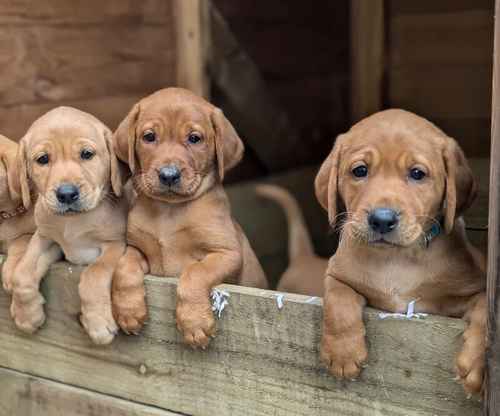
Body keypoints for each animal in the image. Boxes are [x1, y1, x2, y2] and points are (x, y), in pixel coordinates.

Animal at [9, 106, 127, 344]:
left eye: (87, 154)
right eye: (43, 159)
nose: (66, 194)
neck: (73, 221)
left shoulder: (115, 244)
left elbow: (94, 273)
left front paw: (98, 324)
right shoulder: (45, 238)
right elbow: (22, 273)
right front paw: (27, 316)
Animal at [111, 87, 268, 348]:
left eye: (195, 138)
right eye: (149, 137)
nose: (168, 175)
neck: (168, 212)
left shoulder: (227, 253)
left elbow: (195, 272)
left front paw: (194, 323)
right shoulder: (136, 247)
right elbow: (124, 266)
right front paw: (128, 311)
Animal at [316, 109, 484, 394]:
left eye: (417, 174)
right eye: (360, 171)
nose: (382, 219)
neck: (396, 259)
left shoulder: (474, 289)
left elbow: (486, 315)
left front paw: (475, 365)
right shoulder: (336, 273)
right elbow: (338, 298)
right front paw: (343, 353)